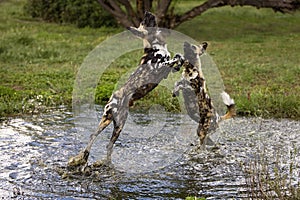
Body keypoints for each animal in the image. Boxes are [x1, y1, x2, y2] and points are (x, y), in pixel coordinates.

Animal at [68, 11, 184, 168]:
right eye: (145, 21)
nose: (147, 12)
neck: (155, 45)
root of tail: (111, 100)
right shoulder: (160, 65)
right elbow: (176, 58)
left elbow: (178, 57)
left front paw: (179, 65)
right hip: (115, 123)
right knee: (97, 139)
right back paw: (87, 159)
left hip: (114, 124)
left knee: (106, 143)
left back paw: (100, 161)